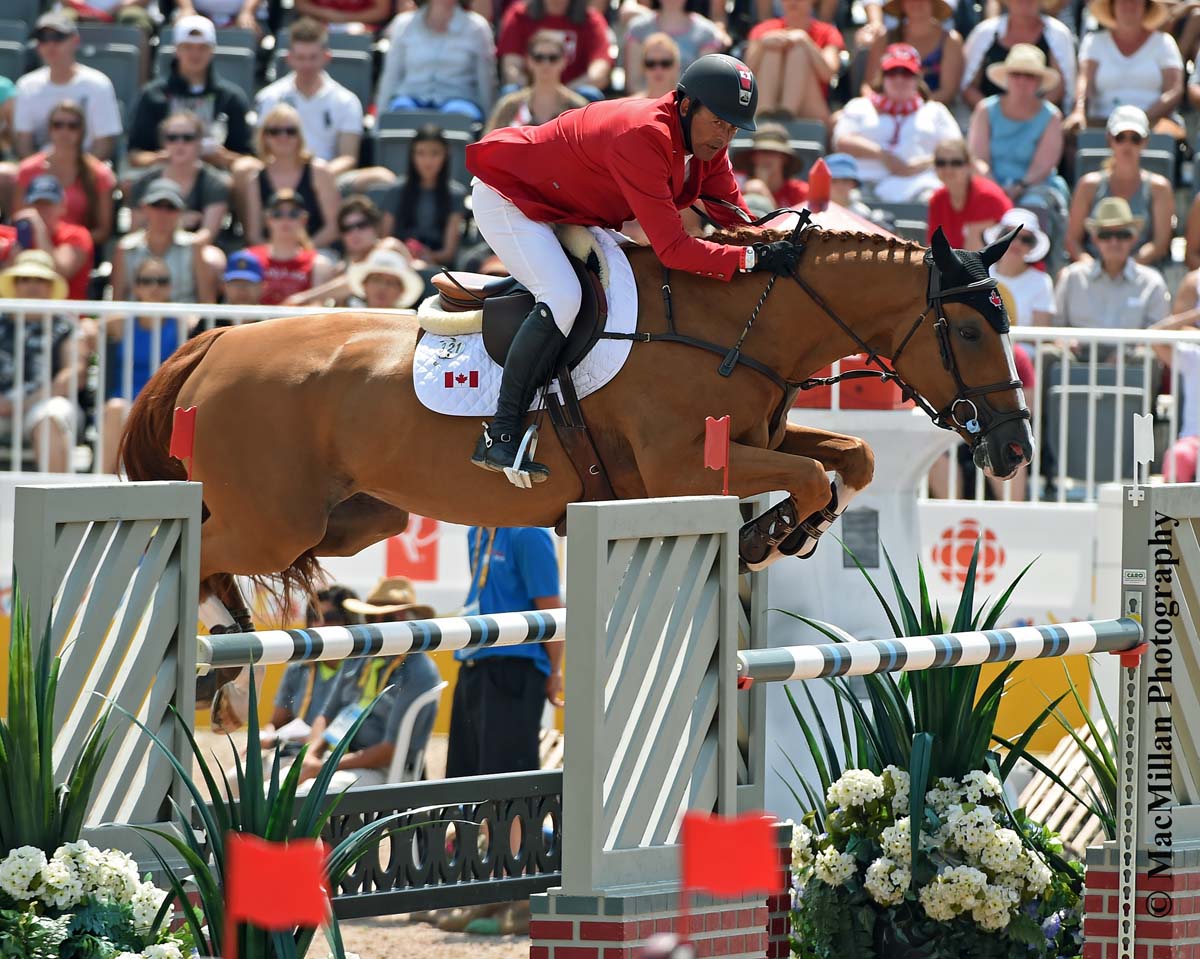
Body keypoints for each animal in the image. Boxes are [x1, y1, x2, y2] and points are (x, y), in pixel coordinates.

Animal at [124, 229, 1032, 624]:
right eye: (971, 330)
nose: (1016, 448)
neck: (733, 327)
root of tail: (215, 341)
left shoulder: (758, 439)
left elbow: (853, 456)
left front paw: (778, 530)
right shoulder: (682, 471)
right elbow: (814, 472)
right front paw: (768, 531)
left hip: (349, 520)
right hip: (274, 521)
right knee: (188, 550)